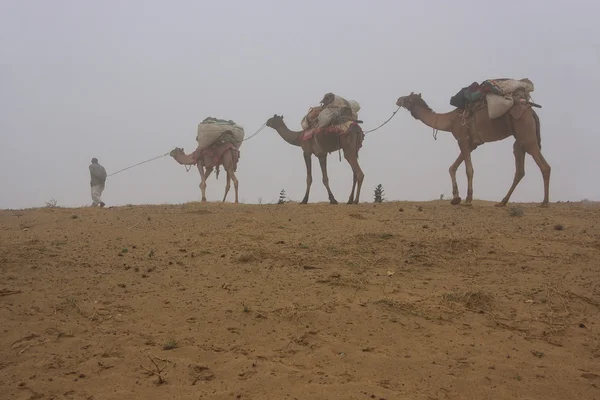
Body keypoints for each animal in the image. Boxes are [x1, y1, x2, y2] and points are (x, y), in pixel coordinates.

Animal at [396, 92, 552, 208]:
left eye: (408, 97)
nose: (398, 99)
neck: (450, 121)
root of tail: (532, 112)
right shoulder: (471, 144)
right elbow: (452, 167)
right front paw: (455, 198)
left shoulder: (463, 139)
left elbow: (468, 170)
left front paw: (468, 199)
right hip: (519, 140)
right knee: (520, 170)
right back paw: (502, 202)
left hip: (526, 134)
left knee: (544, 166)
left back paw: (544, 202)